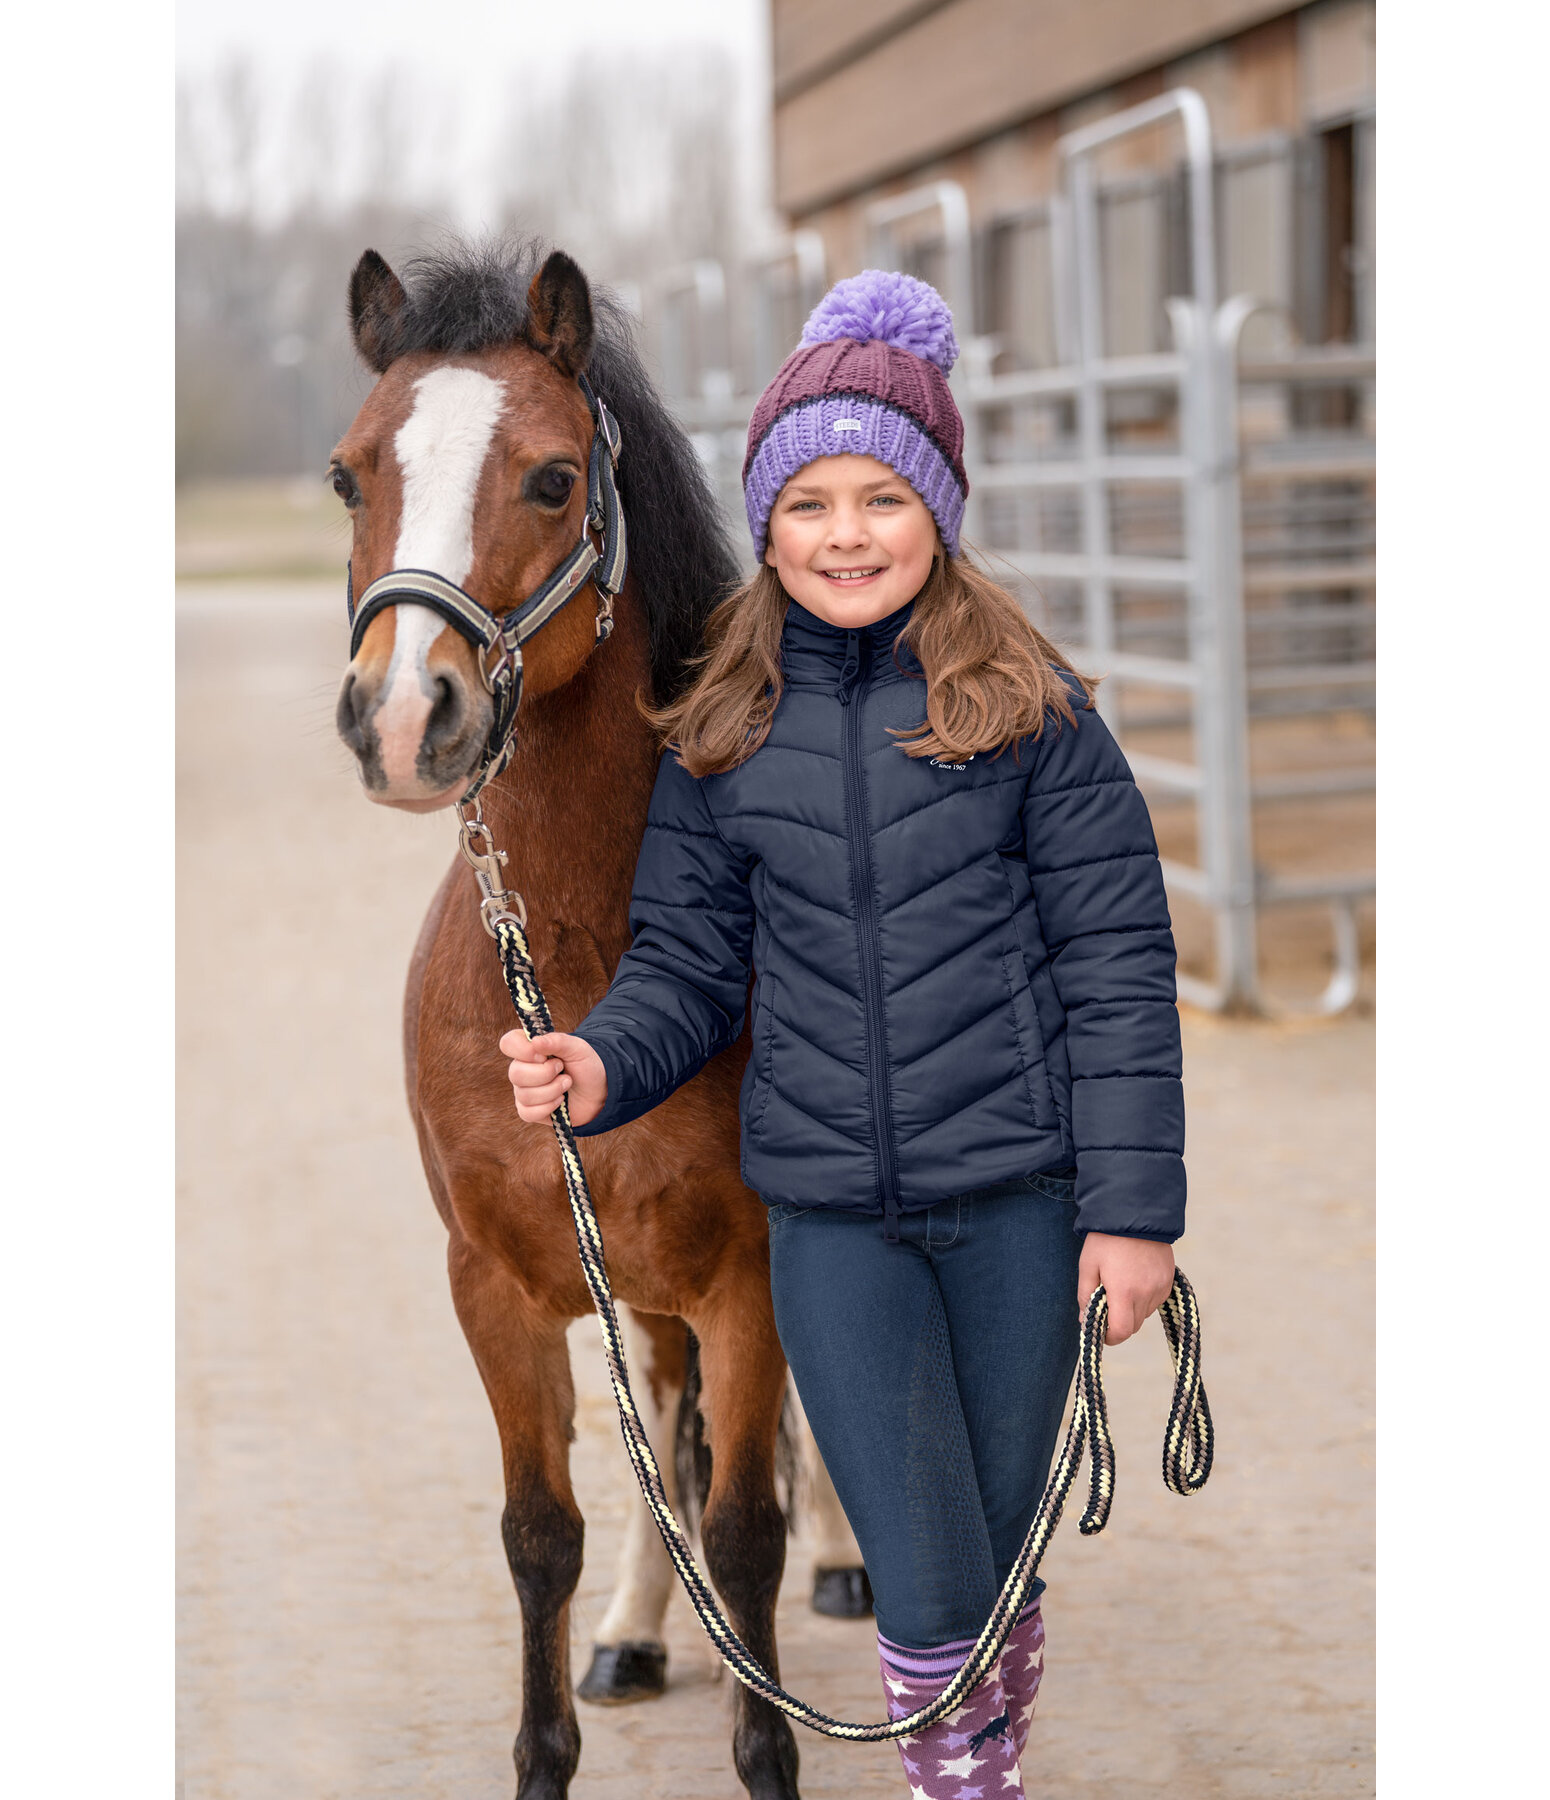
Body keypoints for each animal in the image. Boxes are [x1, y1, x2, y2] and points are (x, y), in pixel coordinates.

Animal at [334, 243, 799, 1800]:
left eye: (549, 480)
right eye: (348, 476)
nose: (400, 718)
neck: (593, 967)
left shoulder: (756, 1274)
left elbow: (749, 1529)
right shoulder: (495, 1282)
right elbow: (543, 1536)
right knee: (660, 1422)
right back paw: (641, 1635)